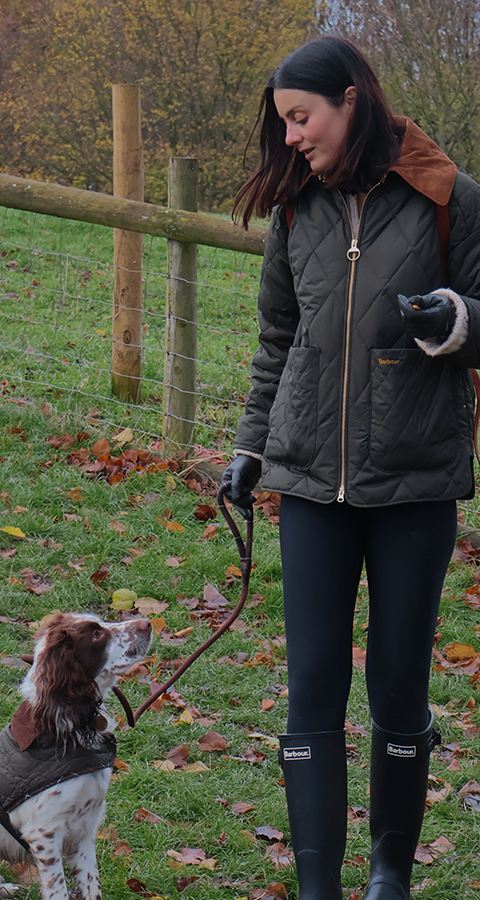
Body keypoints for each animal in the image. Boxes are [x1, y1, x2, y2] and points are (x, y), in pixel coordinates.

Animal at [0, 612, 152, 900]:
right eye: (96, 634)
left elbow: (92, 887)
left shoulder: (85, 830)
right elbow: (57, 890)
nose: (147, 623)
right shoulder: (44, 834)